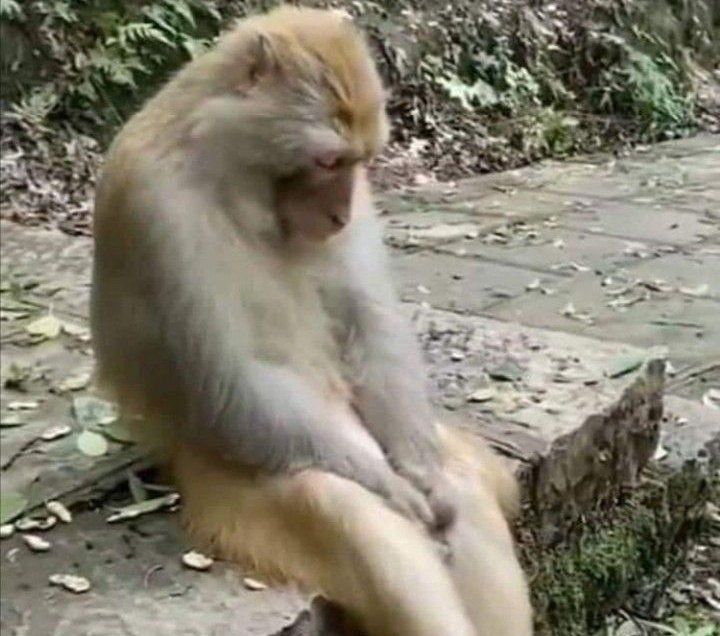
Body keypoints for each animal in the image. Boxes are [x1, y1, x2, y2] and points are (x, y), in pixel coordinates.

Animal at [90, 6, 533, 635]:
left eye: (358, 163)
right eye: (326, 160)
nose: (340, 213)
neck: (223, 169)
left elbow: (370, 323)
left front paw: (420, 477)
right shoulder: (154, 209)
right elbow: (230, 378)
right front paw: (397, 490)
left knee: (461, 489)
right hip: (231, 491)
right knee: (342, 507)